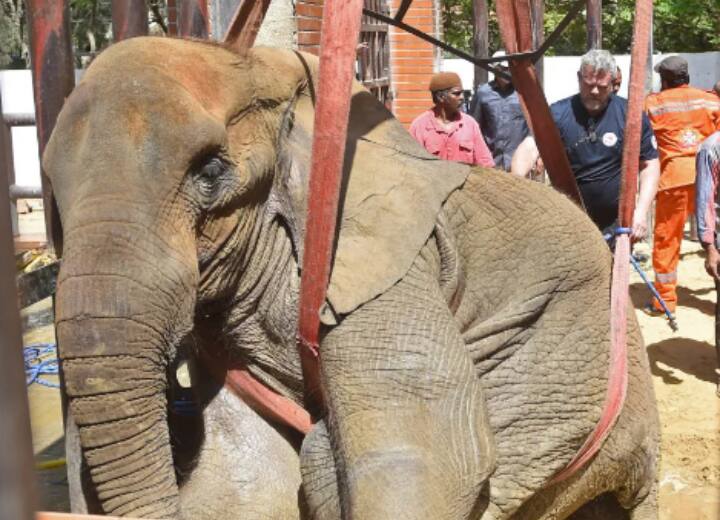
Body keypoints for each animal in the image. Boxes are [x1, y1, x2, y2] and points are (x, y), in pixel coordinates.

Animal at [44, 36, 659, 520]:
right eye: (51, 193)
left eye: (211, 171)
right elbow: (243, 476)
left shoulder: (383, 263)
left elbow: (430, 459)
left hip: (556, 387)